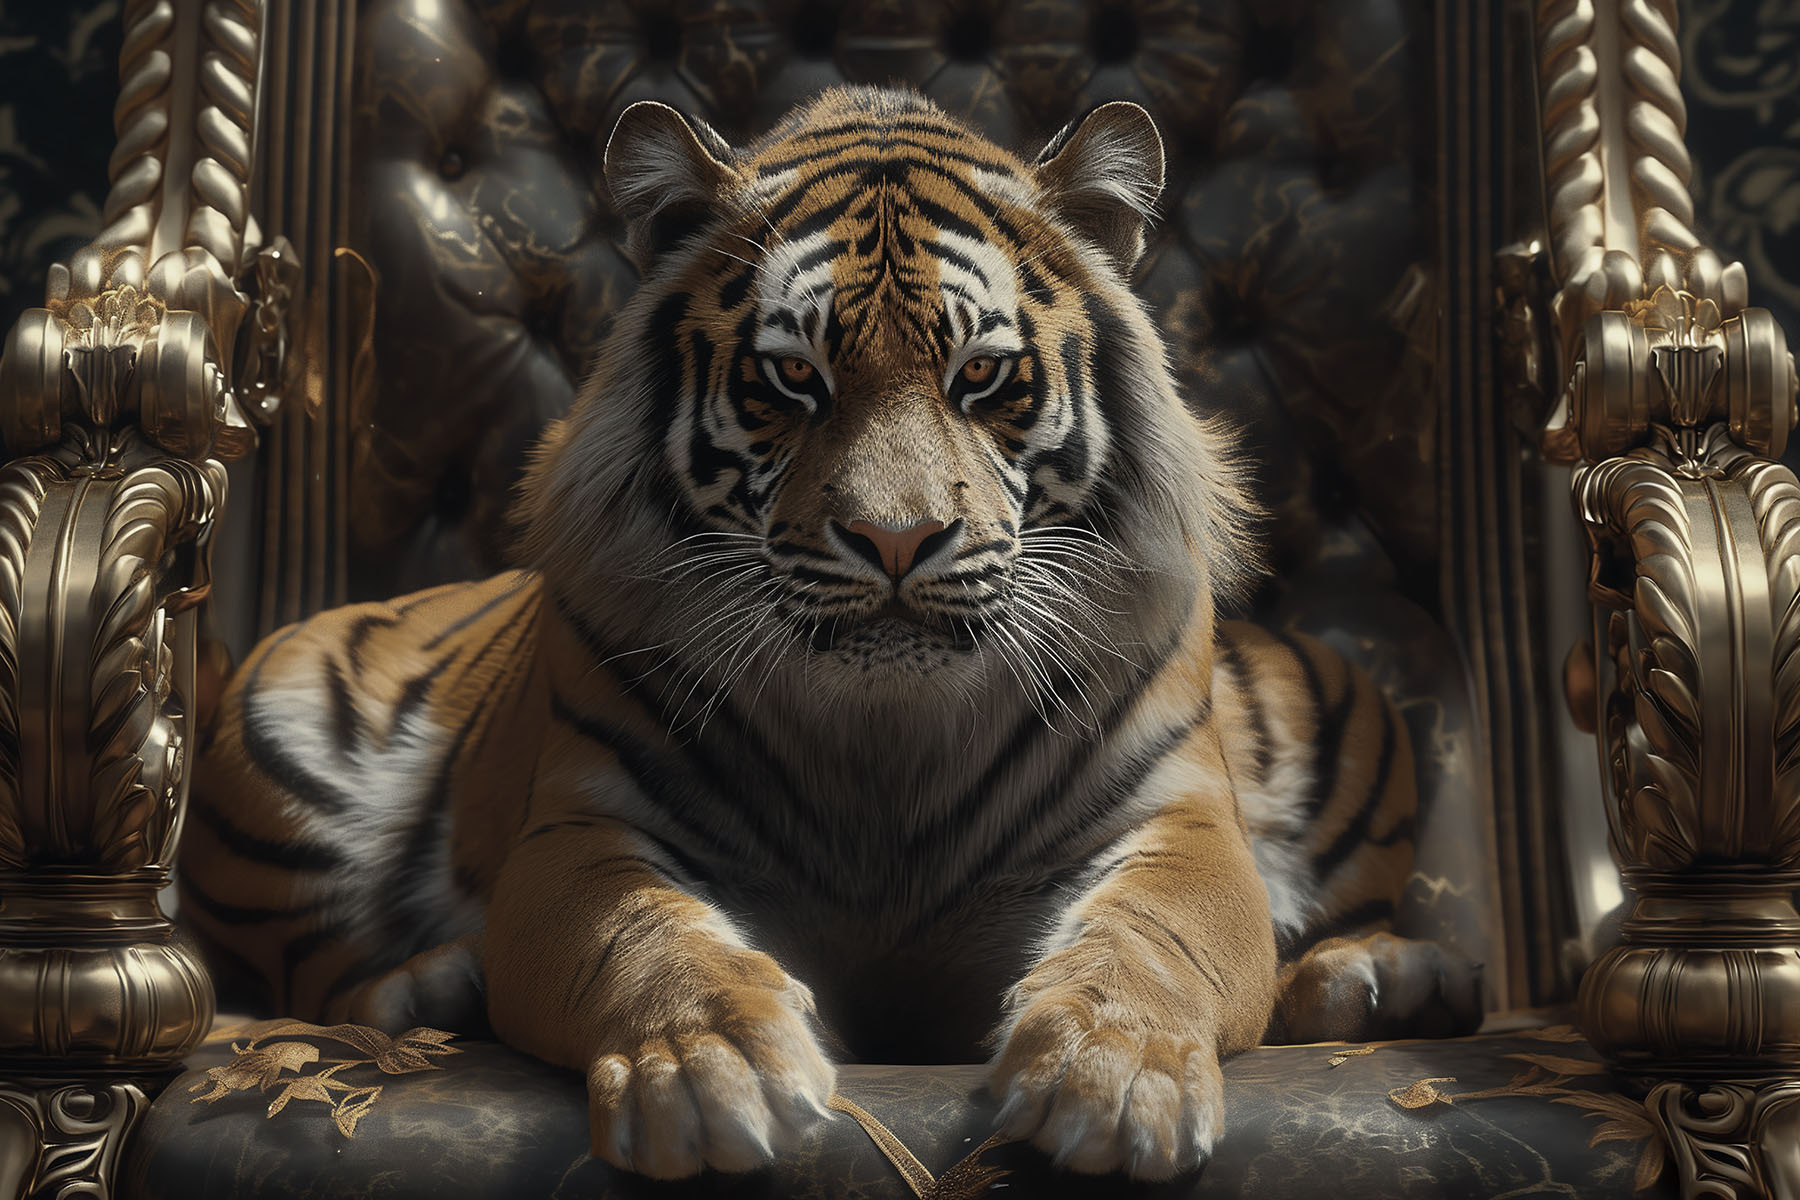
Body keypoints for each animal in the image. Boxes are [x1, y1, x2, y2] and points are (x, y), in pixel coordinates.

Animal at [181, 87, 1481, 1182]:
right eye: (791, 380)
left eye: (983, 377)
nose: (896, 540)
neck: (886, 742)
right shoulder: (582, 834)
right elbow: (646, 938)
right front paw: (715, 1071)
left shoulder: (1179, 825)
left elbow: (1155, 941)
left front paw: (1112, 1079)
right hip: (273, 732)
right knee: (319, 968)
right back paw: (437, 987)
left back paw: (1381, 982)